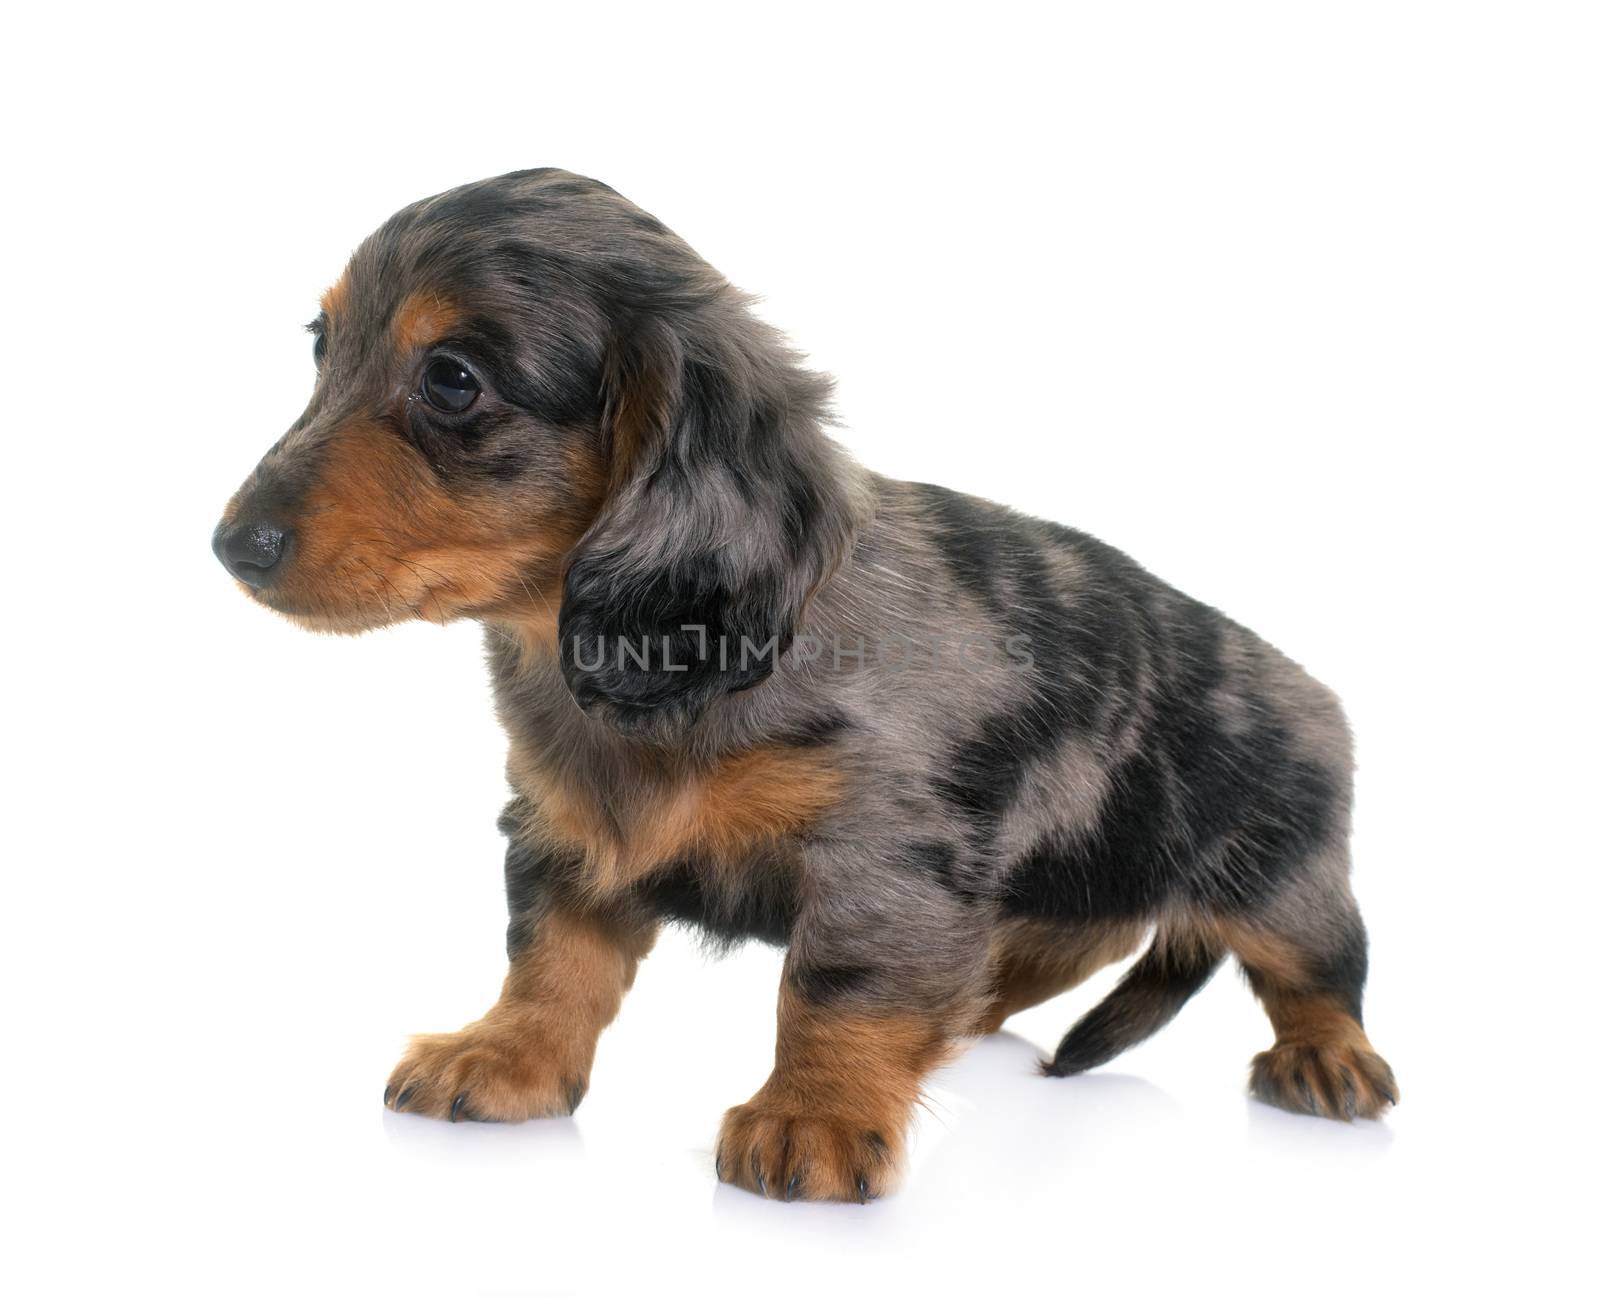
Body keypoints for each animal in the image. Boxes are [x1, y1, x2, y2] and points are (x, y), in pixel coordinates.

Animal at [219, 167, 1395, 1202]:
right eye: (322, 346)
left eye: (452, 378)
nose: (232, 546)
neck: (667, 671)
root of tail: (1311, 690)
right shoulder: (560, 829)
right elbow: (551, 955)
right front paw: (507, 1056)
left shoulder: (886, 858)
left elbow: (836, 989)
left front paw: (815, 1114)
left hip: (1286, 877)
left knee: (1321, 970)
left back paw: (1328, 1057)